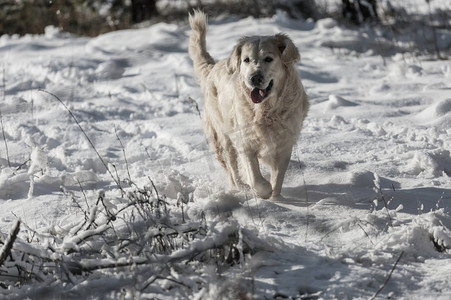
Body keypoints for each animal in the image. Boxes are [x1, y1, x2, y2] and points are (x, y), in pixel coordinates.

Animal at [189, 11, 308, 199]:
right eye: (246, 60)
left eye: (268, 59)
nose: (255, 78)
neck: (266, 110)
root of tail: (213, 66)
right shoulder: (245, 142)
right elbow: (256, 177)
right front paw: (264, 191)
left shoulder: (284, 144)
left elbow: (278, 177)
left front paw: (275, 197)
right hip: (222, 136)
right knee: (232, 168)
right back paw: (240, 186)